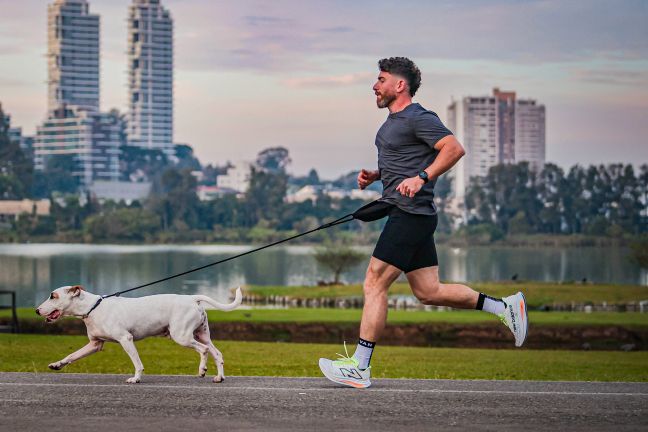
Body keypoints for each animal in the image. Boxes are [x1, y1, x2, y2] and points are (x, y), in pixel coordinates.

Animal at [33, 286, 240, 384]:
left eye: (53, 296)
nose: (36, 310)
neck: (92, 308)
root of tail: (192, 298)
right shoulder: (94, 344)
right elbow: (72, 355)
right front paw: (57, 365)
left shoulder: (126, 339)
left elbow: (137, 363)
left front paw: (136, 379)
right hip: (201, 334)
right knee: (217, 353)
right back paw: (219, 377)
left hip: (182, 336)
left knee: (204, 350)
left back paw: (202, 370)